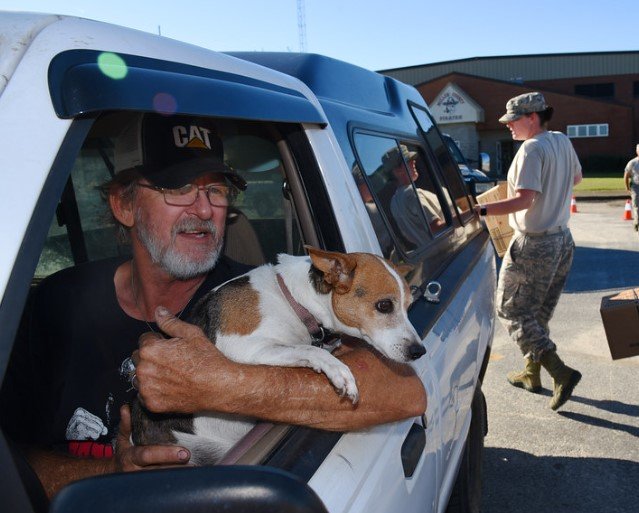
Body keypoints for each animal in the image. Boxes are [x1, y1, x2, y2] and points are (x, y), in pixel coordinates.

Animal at [131, 246, 424, 466]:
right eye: (384, 305)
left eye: (409, 306)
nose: (419, 351)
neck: (293, 300)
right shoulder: (245, 347)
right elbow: (307, 349)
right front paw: (338, 370)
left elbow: (307, 348)